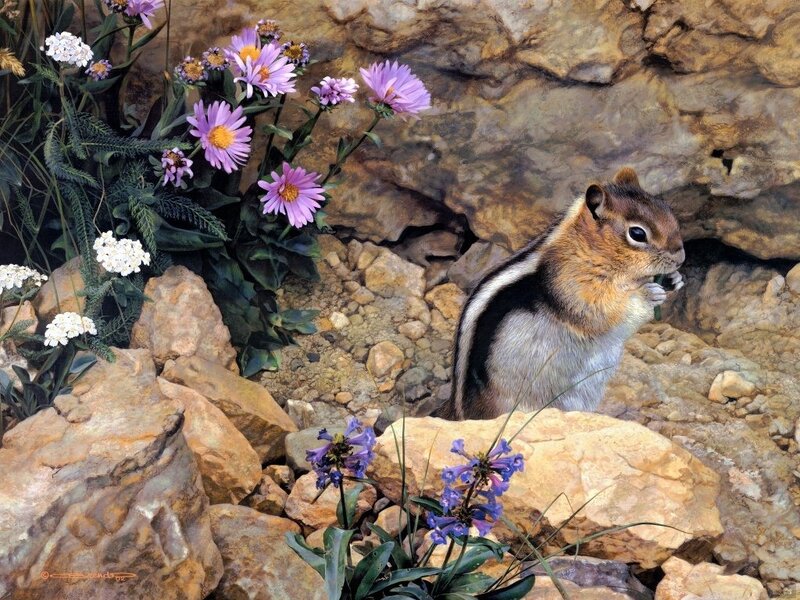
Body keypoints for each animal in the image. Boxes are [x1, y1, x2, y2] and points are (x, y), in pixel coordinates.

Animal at [437, 167, 685, 420]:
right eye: (637, 233)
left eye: (668, 211)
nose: (681, 257)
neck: (586, 249)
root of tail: (460, 411)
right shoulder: (572, 287)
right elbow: (603, 313)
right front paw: (648, 293)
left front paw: (674, 279)